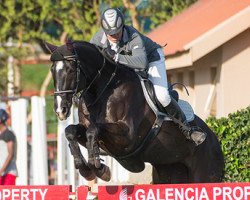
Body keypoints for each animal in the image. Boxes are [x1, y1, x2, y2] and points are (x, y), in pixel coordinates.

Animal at [46, 39, 224, 184]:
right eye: (52, 70)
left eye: (70, 70)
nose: (60, 109)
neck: (103, 90)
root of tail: (215, 140)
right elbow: (71, 131)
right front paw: (85, 169)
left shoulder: (128, 137)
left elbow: (93, 130)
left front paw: (99, 168)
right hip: (168, 172)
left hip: (204, 175)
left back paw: (195, 135)